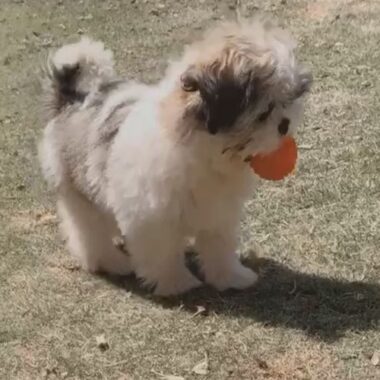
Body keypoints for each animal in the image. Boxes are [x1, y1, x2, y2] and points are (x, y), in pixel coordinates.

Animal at [39, 18, 312, 296]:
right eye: (264, 112)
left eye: (288, 101)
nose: (285, 125)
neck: (204, 150)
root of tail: (70, 98)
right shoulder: (152, 218)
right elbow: (163, 253)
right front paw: (176, 283)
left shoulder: (218, 213)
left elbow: (219, 246)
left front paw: (231, 277)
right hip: (80, 192)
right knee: (89, 232)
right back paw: (112, 261)